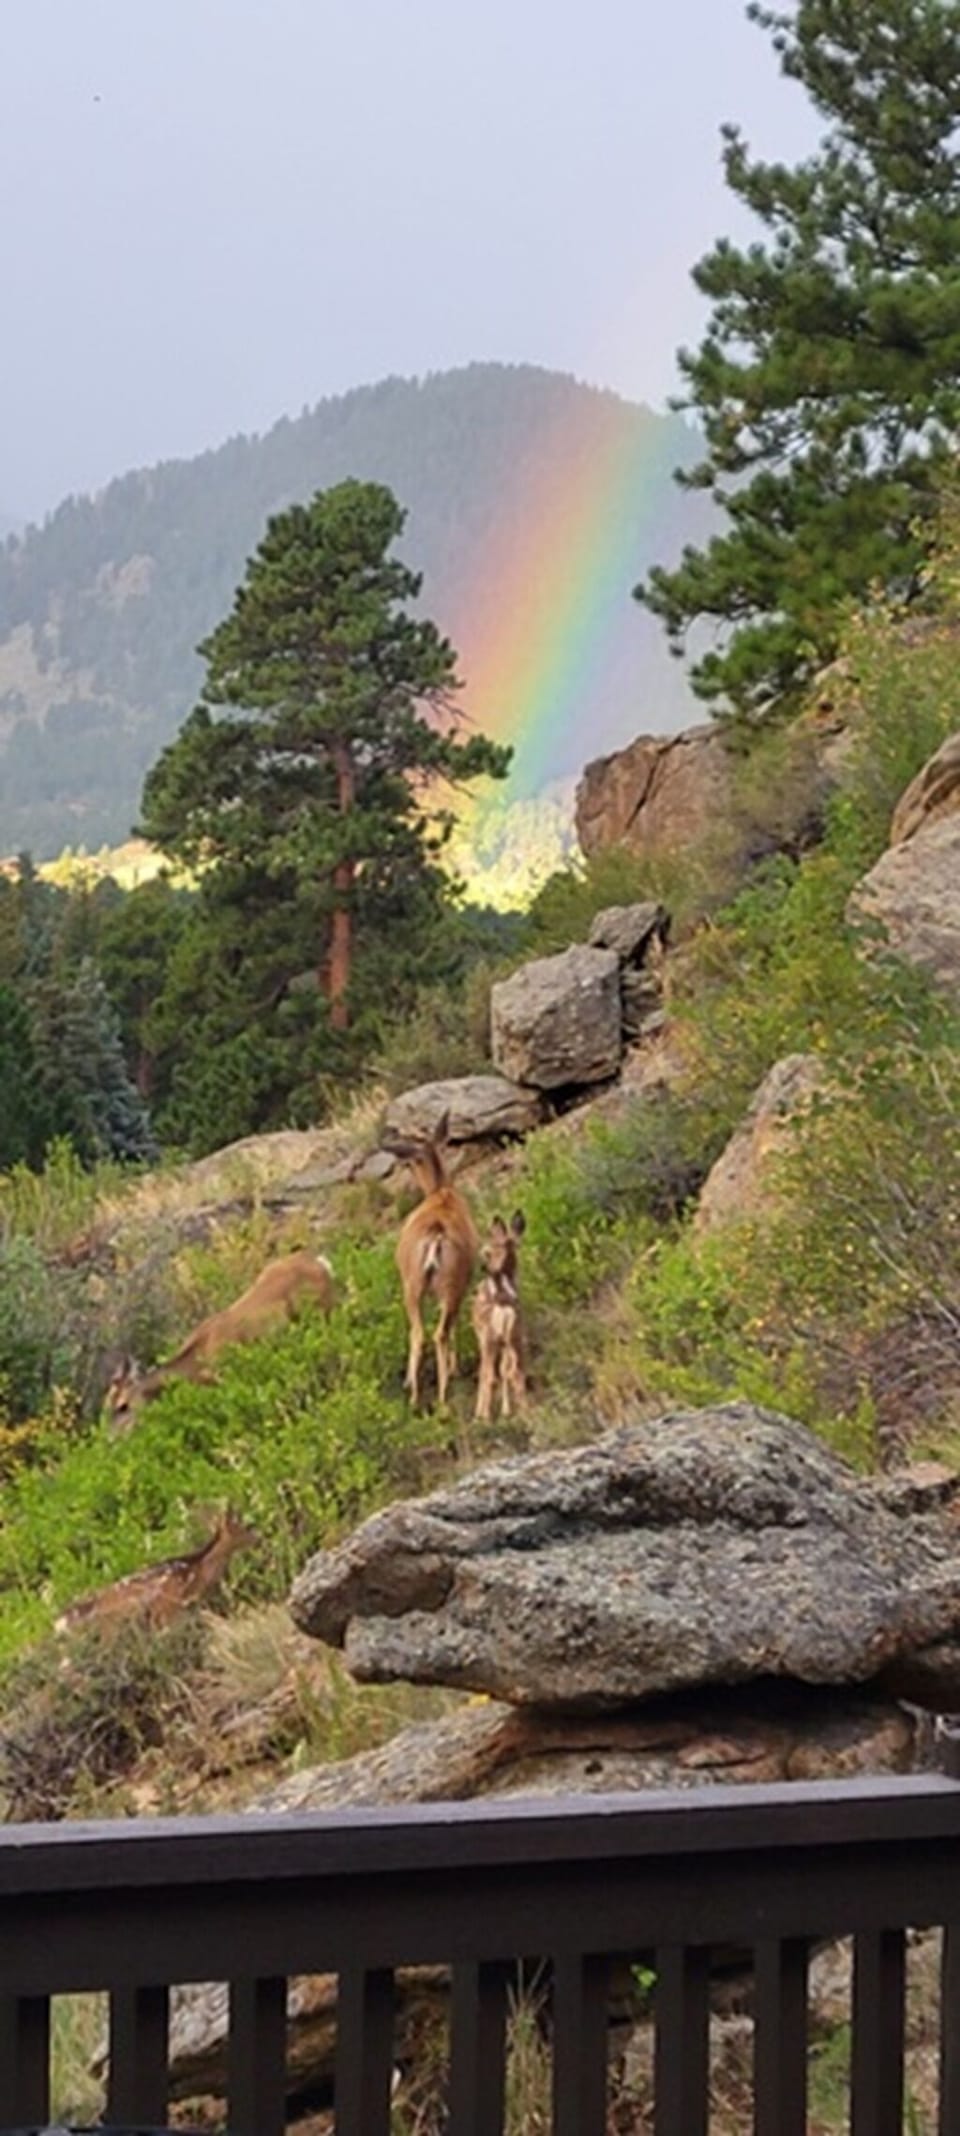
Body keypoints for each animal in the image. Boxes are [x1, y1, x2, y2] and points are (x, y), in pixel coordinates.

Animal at [105, 1249, 335, 1434]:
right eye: (106, 1406)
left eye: (123, 1406)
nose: (112, 1440)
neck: (199, 1362)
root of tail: (321, 1262)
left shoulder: (231, 1377)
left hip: (324, 1312)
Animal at [382, 1112, 478, 1408]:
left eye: (411, 1162)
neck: (440, 1191)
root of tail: (436, 1237)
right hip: (445, 1284)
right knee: (435, 1331)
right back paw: (437, 1394)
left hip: (416, 1285)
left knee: (423, 1332)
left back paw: (421, 1394)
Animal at [472, 1212, 527, 1422]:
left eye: (488, 1251)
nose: (484, 1267)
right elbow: (505, 1370)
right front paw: (506, 1411)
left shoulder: (483, 1337)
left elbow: (484, 1373)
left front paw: (479, 1414)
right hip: (515, 1337)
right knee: (516, 1372)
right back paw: (526, 1413)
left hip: (491, 1339)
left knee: (490, 1375)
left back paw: (485, 1419)